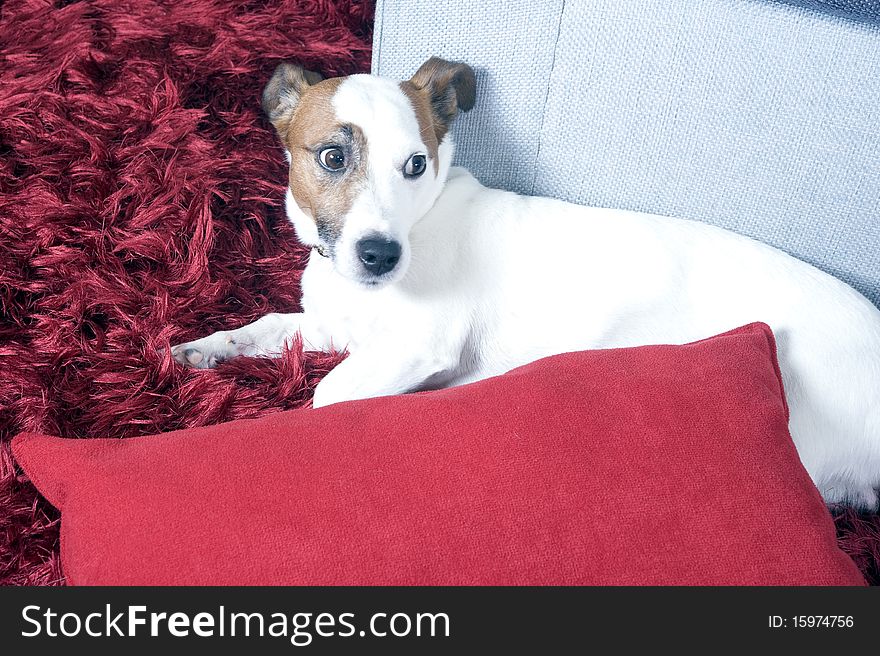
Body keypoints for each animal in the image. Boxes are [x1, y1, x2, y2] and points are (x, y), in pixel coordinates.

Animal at [172, 57, 880, 508]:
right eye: (332, 157)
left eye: (416, 164)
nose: (379, 255)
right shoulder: (334, 326)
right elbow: (262, 328)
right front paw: (200, 350)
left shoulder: (414, 345)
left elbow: (328, 396)